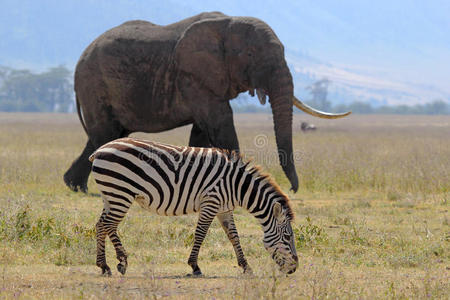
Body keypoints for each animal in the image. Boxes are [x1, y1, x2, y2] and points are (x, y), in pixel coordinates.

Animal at [64, 11, 352, 192]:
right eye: (250, 54)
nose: (293, 188)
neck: (227, 22)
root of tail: (80, 60)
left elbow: (202, 131)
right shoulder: (193, 76)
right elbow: (221, 121)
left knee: (108, 134)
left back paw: (75, 186)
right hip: (94, 83)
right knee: (104, 133)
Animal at [89, 137, 298, 276]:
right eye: (288, 237)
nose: (294, 269)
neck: (237, 186)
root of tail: (100, 149)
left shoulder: (224, 208)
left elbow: (234, 236)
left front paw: (246, 266)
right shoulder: (211, 202)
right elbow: (201, 233)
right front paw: (195, 266)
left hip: (111, 195)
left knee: (102, 225)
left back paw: (105, 265)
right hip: (121, 193)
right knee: (108, 225)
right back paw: (120, 262)